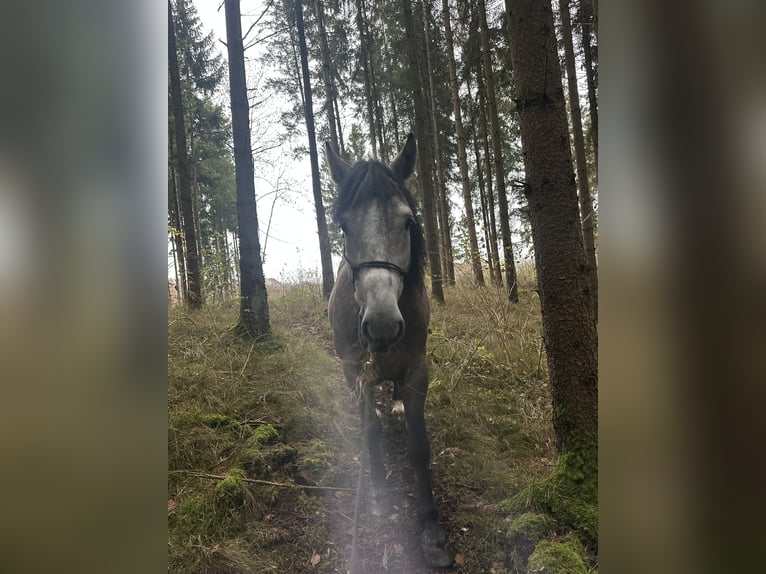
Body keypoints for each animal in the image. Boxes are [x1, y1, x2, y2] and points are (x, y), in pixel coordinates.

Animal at [325, 134, 453, 568]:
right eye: (343, 226)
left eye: (408, 222)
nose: (381, 326)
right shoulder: (354, 371)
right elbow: (370, 430)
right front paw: (379, 493)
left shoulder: (417, 369)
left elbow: (419, 447)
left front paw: (431, 529)